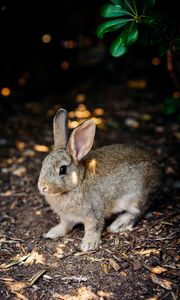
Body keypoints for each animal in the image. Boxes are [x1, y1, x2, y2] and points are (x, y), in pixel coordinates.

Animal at [37, 108, 162, 251]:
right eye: (43, 163)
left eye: (62, 169)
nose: (42, 187)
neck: (78, 182)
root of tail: (159, 173)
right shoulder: (66, 218)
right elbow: (64, 225)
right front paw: (52, 233)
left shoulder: (93, 213)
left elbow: (93, 228)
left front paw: (88, 244)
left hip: (137, 197)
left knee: (139, 211)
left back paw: (119, 224)